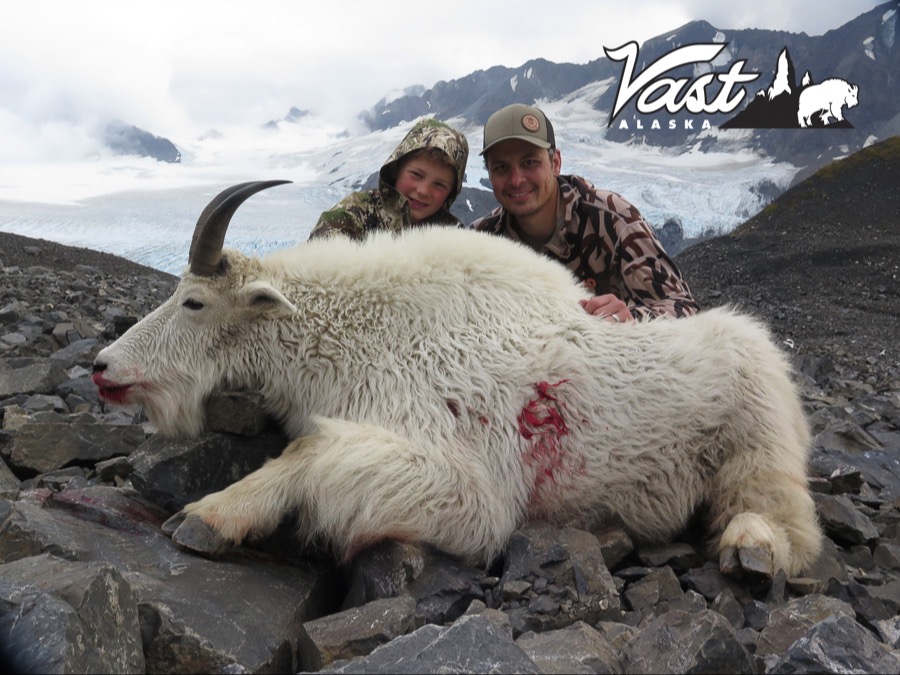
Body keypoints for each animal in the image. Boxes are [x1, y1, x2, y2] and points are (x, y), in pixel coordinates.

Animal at [93, 181, 823, 577]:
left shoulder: (469, 484)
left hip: (758, 441)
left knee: (786, 520)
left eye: (193, 302)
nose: (104, 368)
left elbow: (311, 449)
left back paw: (751, 549)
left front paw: (209, 514)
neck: (355, 334)